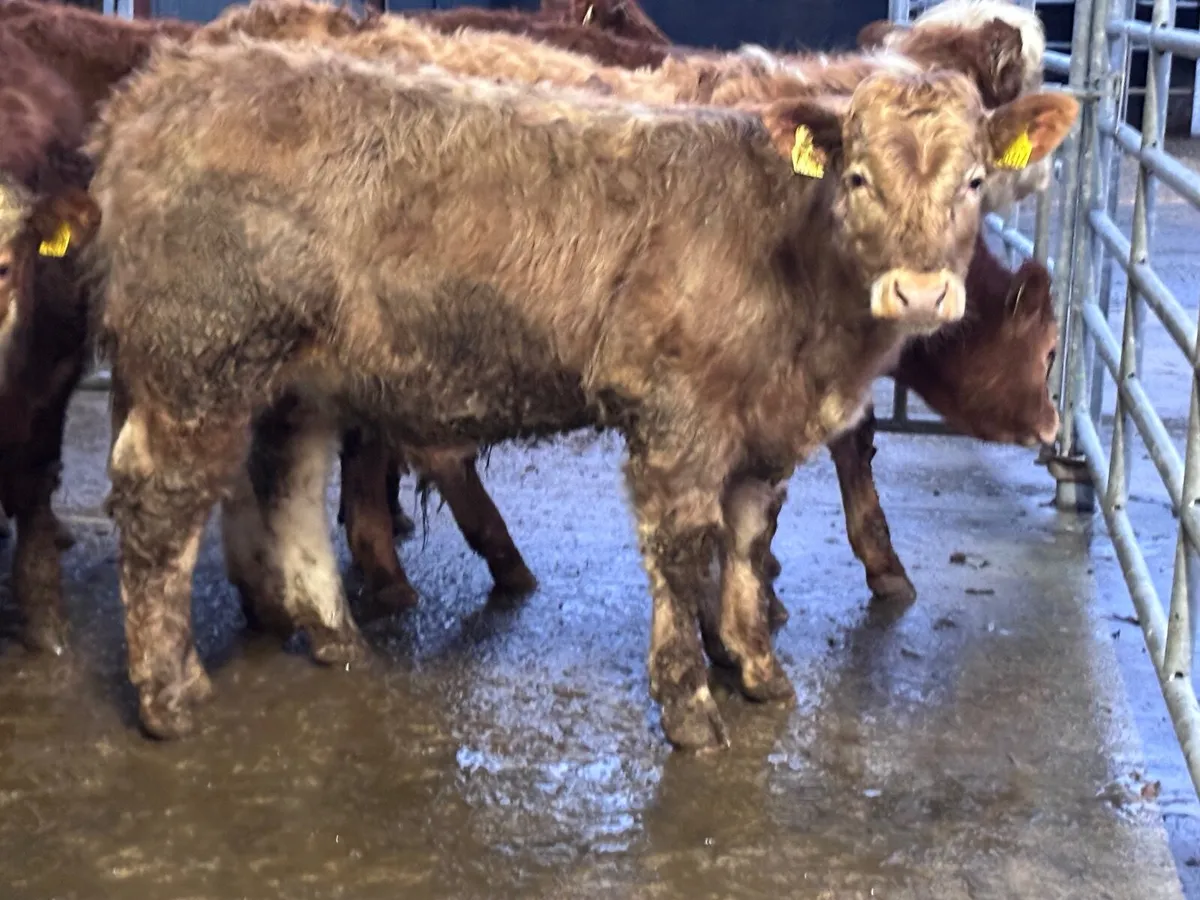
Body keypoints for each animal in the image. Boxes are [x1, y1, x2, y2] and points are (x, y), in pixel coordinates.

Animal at [88, 34, 1075, 747]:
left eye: (975, 180)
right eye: (858, 176)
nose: (920, 291)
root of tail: (157, 89)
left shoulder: (767, 426)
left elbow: (749, 544)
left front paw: (759, 670)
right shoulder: (677, 416)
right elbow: (685, 551)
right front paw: (691, 707)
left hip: (295, 376)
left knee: (286, 483)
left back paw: (336, 639)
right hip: (198, 360)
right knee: (159, 503)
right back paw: (171, 694)